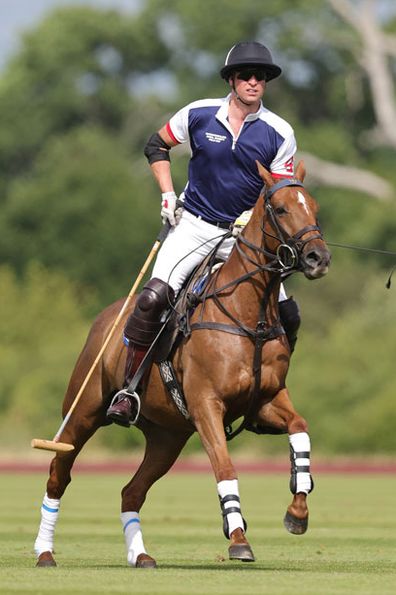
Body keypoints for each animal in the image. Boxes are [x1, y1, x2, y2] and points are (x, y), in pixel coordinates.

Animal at [34, 162, 332, 568]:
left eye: (314, 207)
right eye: (282, 209)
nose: (319, 258)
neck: (247, 315)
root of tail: (109, 313)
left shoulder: (267, 399)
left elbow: (301, 429)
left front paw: (297, 512)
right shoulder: (207, 403)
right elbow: (225, 467)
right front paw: (238, 537)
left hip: (167, 436)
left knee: (131, 491)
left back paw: (141, 555)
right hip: (83, 410)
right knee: (57, 474)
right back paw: (44, 551)